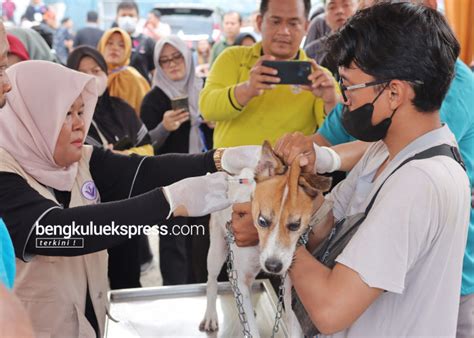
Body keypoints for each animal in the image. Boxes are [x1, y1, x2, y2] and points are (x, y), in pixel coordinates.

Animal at [199, 141, 330, 336]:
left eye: (295, 225)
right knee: (212, 280)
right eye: (262, 221)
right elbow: (252, 330)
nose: (273, 266)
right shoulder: (242, 275)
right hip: (216, 247)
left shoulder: (288, 285)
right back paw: (210, 316)